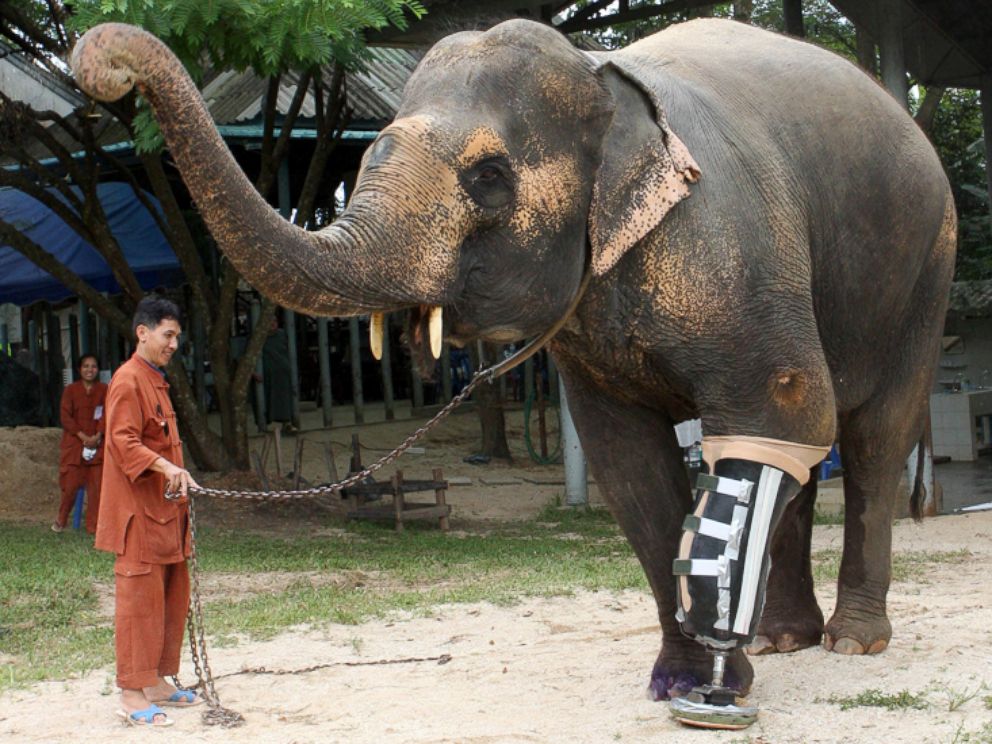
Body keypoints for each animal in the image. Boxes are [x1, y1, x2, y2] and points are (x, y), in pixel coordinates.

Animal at [73, 18, 956, 704]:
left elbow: (782, 405)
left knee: (871, 437)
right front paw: (680, 680)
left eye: (491, 179)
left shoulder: (727, 246)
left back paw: (853, 642)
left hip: (926, 270)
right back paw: (782, 639)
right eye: (368, 156)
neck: (605, 77)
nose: (105, 65)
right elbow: (626, 461)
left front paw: (716, 682)